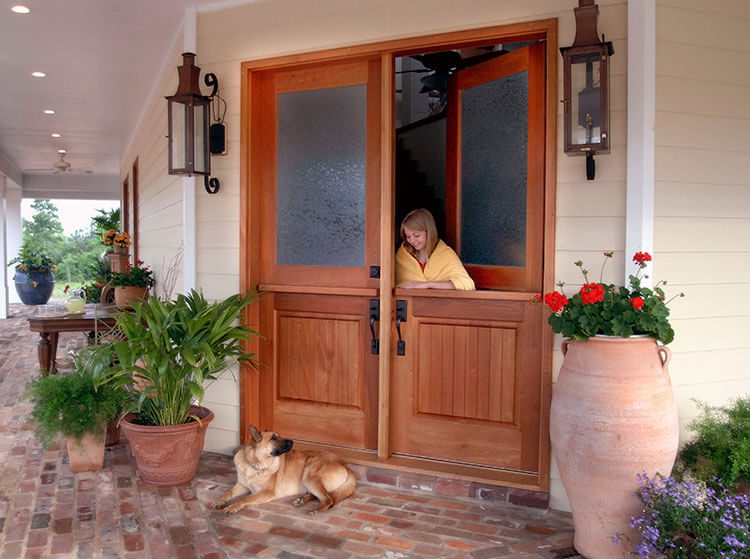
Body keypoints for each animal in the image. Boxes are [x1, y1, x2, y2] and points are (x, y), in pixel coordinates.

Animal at [207, 426, 356, 516]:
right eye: (273, 438)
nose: (292, 441)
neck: (256, 465)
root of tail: (344, 464)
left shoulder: (265, 492)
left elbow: (245, 498)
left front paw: (233, 506)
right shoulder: (242, 485)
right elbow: (228, 493)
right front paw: (219, 501)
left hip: (310, 474)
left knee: (329, 499)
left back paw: (316, 510)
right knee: (320, 495)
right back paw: (301, 500)